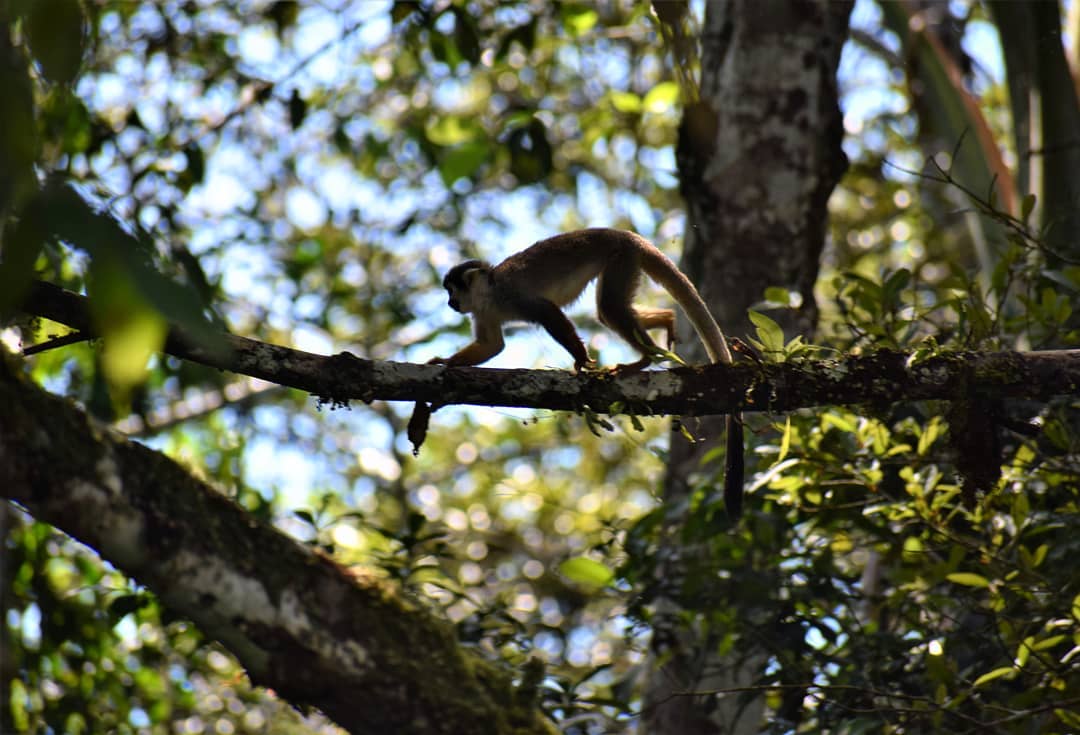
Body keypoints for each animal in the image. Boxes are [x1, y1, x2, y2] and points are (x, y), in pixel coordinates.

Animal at [429, 226, 743, 518]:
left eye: (451, 290)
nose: (449, 302)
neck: (489, 294)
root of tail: (625, 234)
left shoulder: (511, 294)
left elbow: (547, 312)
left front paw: (580, 358)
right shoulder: (483, 312)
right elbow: (492, 345)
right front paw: (446, 363)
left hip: (620, 256)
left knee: (610, 308)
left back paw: (646, 358)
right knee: (607, 312)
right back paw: (666, 320)